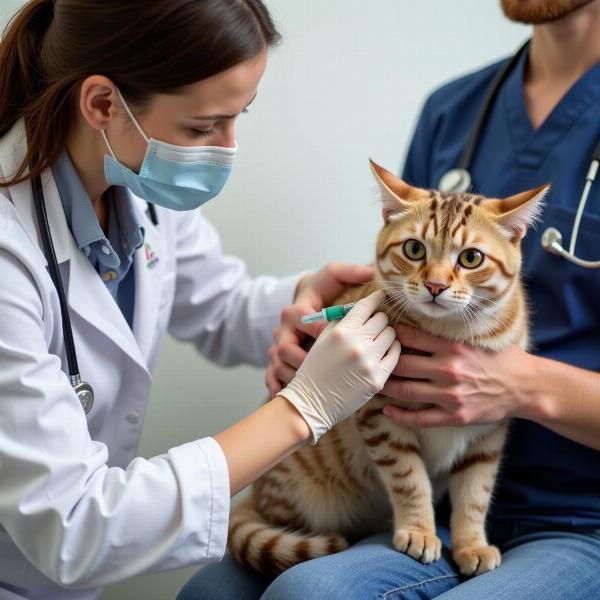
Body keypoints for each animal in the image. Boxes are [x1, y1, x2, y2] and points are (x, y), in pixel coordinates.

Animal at [226, 159, 548, 576]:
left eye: (471, 258)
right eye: (414, 248)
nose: (435, 286)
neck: (452, 333)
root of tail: (255, 495)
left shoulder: (488, 430)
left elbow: (475, 494)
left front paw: (472, 544)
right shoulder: (381, 420)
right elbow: (409, 480)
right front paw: (419, 531)